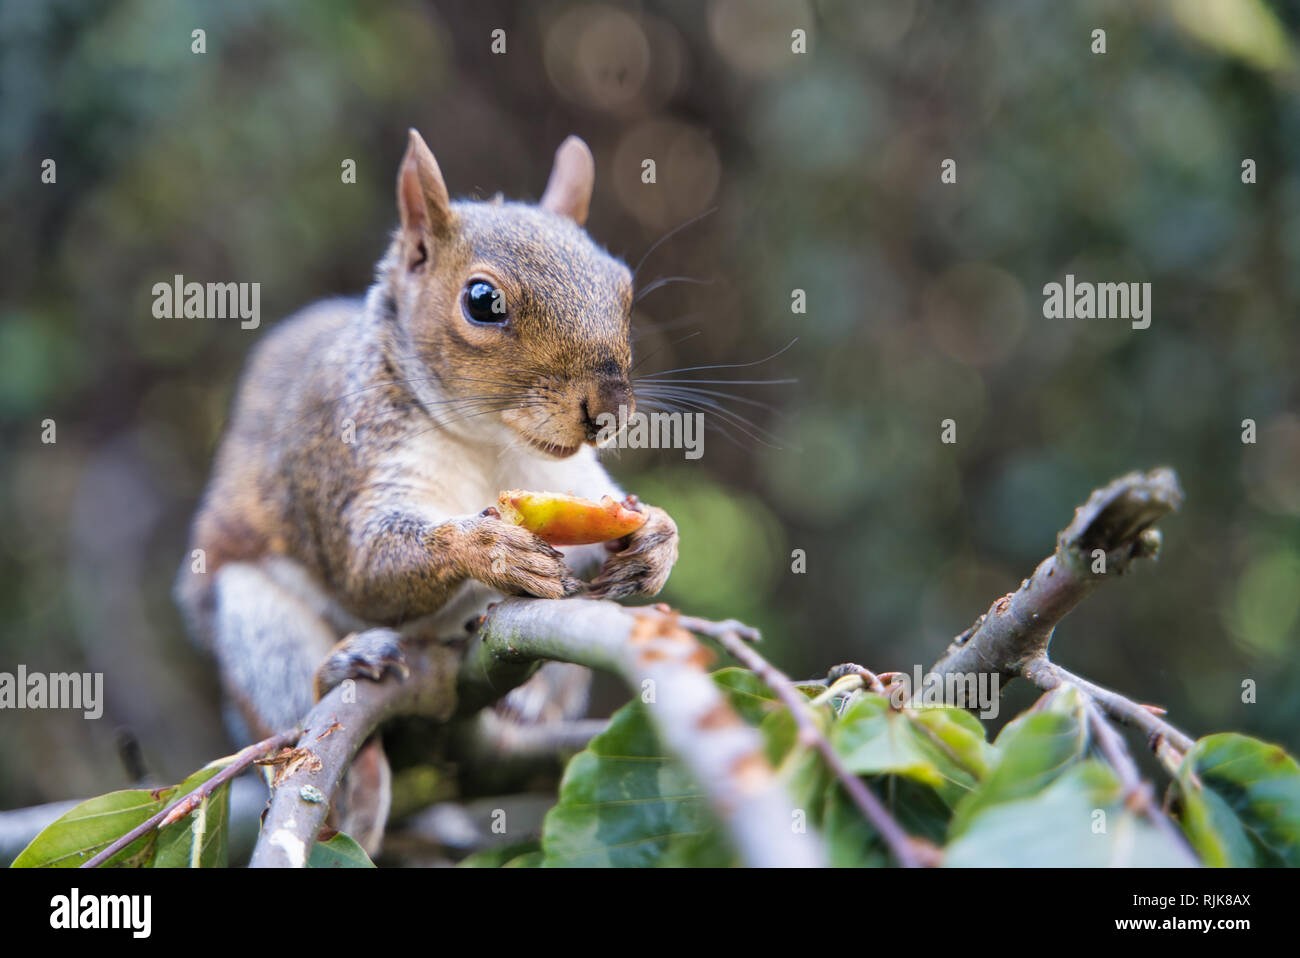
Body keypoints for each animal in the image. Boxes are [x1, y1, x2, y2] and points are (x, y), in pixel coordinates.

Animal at [175, 129, 679, 852]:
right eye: (482, 301)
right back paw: (348, 720)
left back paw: (528, 700)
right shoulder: (345, 461)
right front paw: (489, 547)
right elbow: (364, 570)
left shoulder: (570, 482)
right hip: (251, 623)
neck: (492, 442)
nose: (609, 408)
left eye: (624, 288)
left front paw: (657, 539)